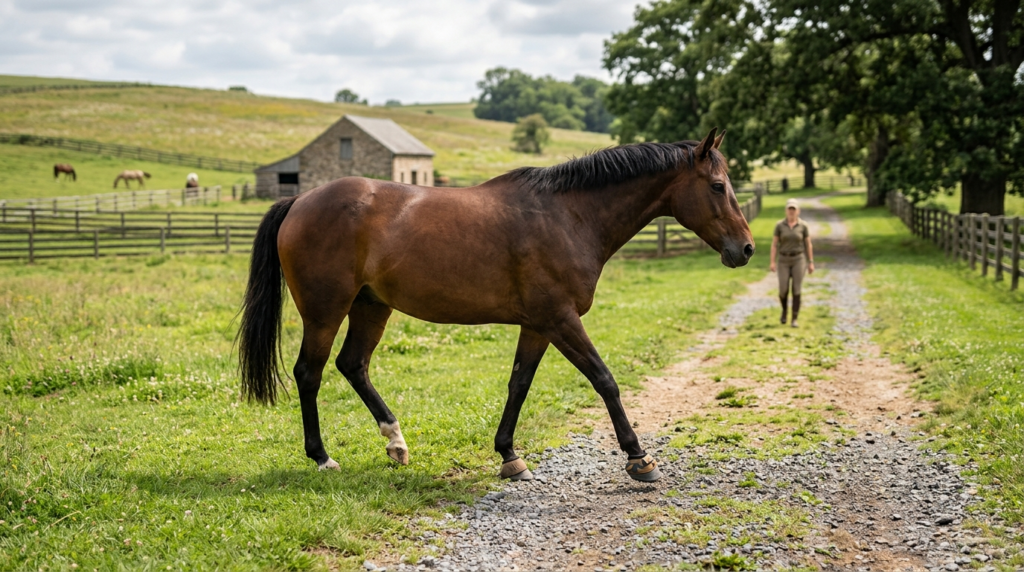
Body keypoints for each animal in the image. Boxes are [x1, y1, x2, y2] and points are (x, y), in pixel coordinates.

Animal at [237, 129, 753, 483]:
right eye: (717, 186)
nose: (745, 249)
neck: (568, 216)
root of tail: (300, 199)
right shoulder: (560, 320)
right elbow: (604, 380)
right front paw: (638, 458)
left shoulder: (539, 325)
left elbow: (518, 384)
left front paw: (509, 455)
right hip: (325, 311)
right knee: (310, 373)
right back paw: (322, 457)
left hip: (371, 306)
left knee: (353, 365)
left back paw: (396, 444)